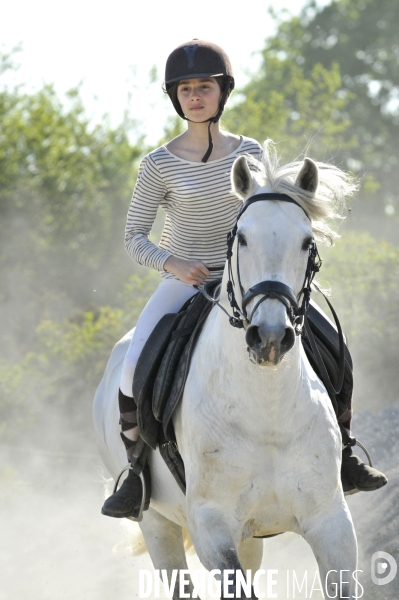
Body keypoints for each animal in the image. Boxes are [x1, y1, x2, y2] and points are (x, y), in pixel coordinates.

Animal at [94, 145, 360, 600]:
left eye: (307, 242)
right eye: (242, 238)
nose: (268, 338)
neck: (266, 410)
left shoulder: (331, 521)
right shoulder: (212, 527)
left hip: (251, 538)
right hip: (157, 525)